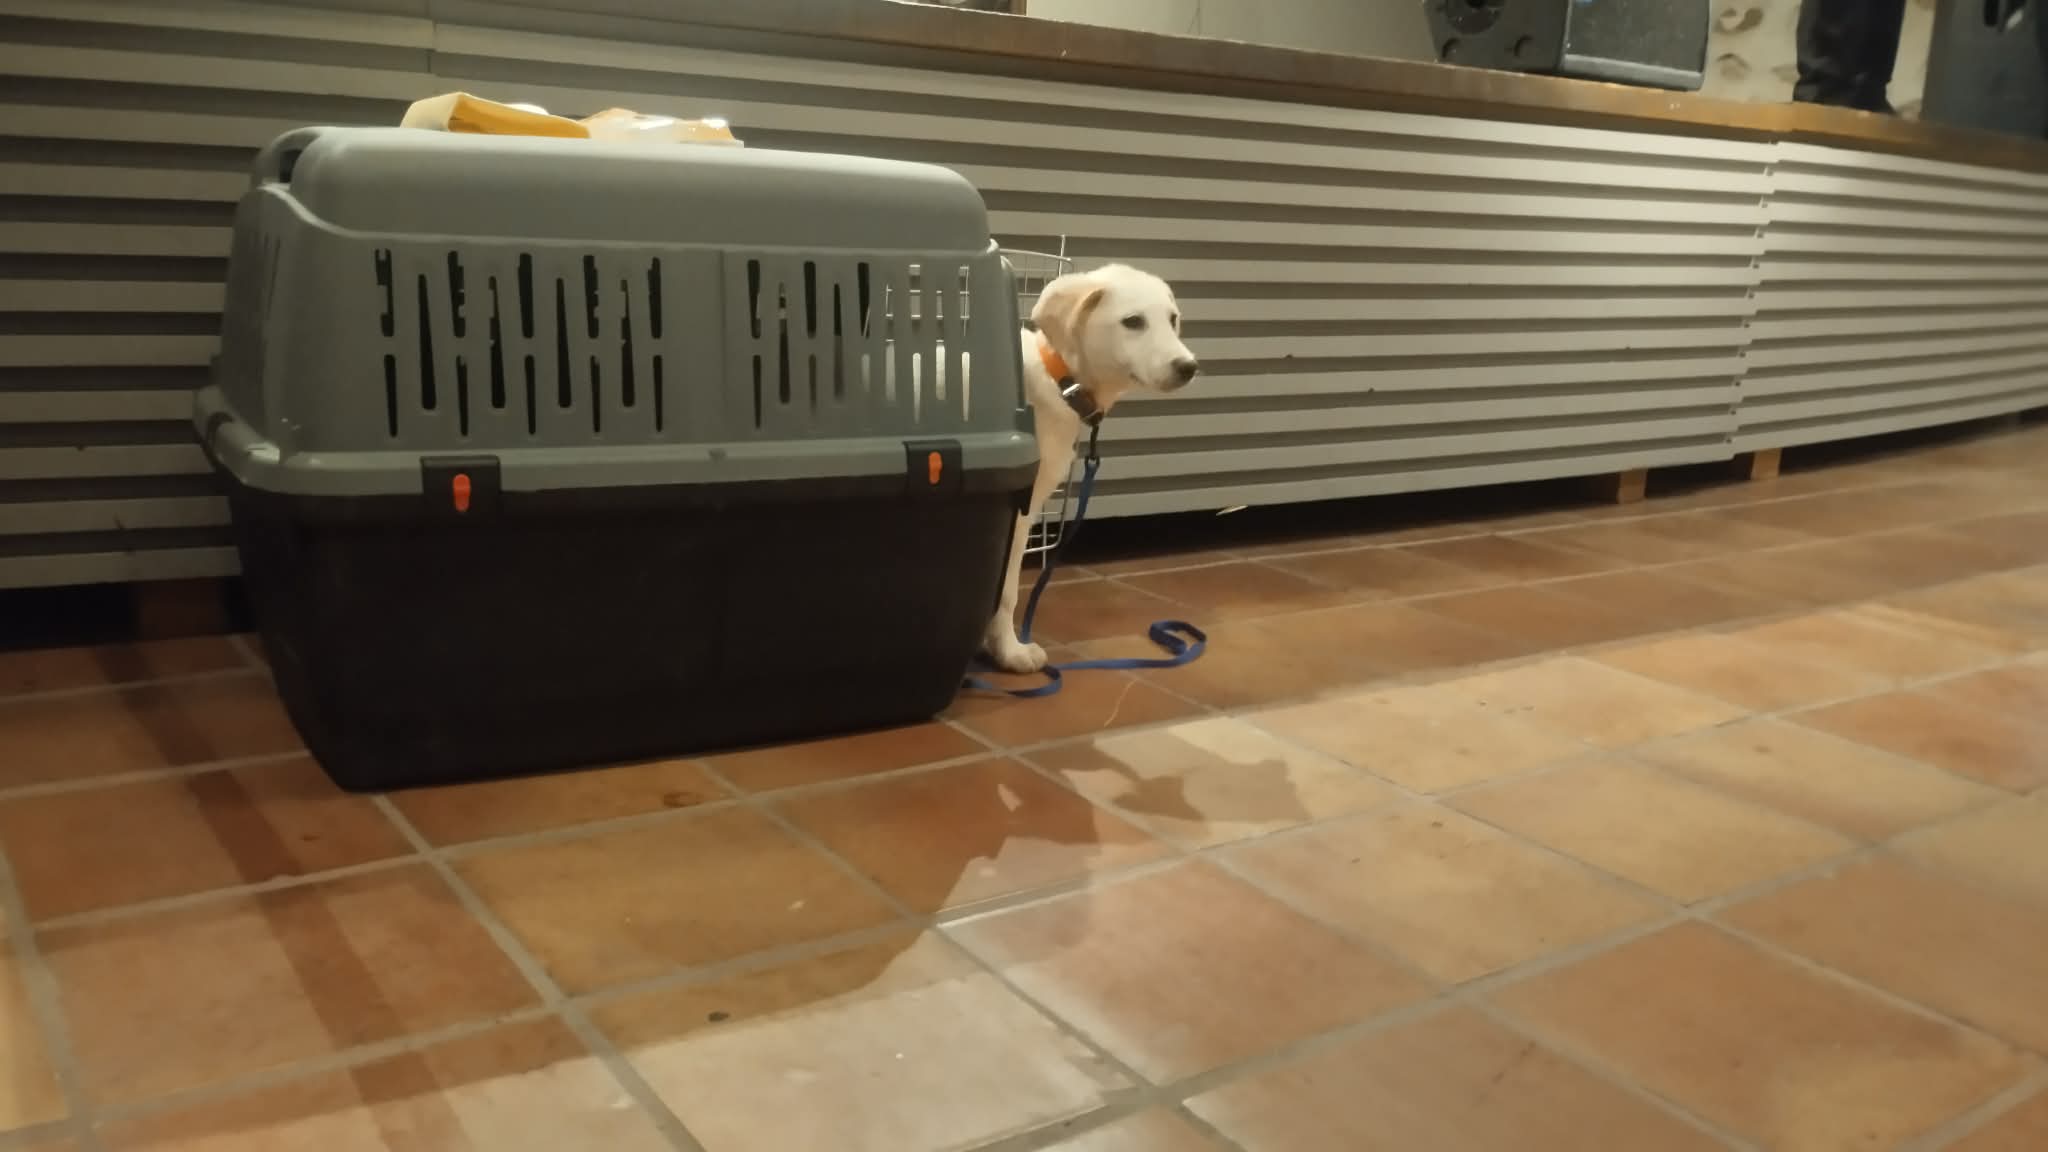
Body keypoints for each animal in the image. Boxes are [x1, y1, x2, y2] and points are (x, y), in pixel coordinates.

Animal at [982, 263, 1199, 675]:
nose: (1188, 367)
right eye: (1133, 322)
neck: (1059, 378)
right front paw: (1010, 651)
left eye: (1173, 319)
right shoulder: (1017, 513)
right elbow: (1005, 591)